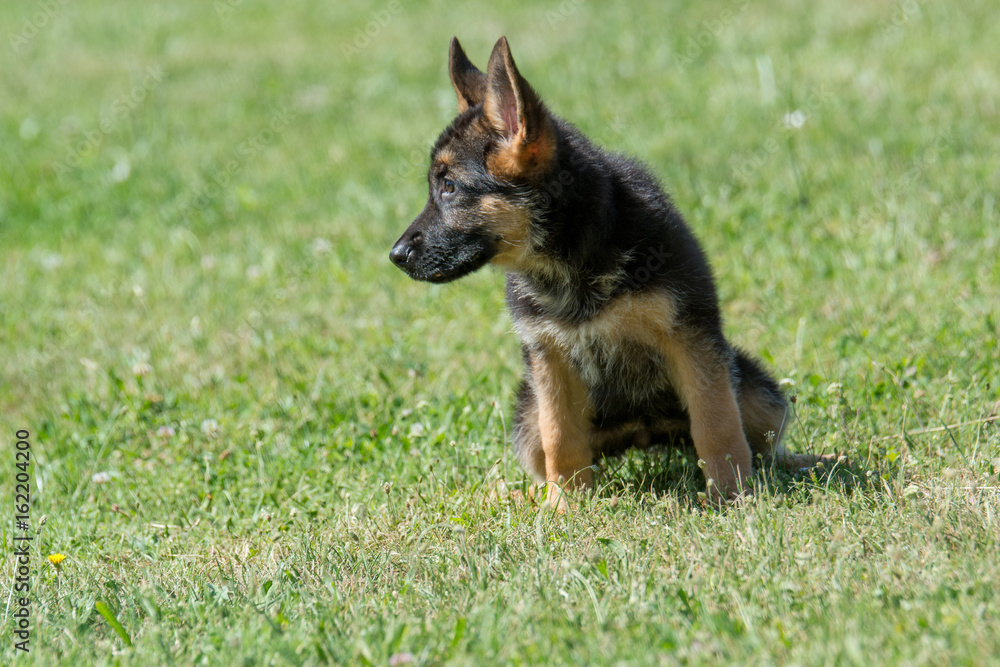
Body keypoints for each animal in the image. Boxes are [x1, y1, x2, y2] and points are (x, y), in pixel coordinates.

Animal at [390, 36, 828, 506]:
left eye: (449, 187)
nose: (395, 255)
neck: (575, 263)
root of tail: (642, 432)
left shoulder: (690, 341)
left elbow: (718, 426)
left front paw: (733, 496)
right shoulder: (548, 360)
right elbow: (561, 440)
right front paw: (564, 507)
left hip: (756, 389)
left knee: (759, 439)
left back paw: (798, 464)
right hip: (527, 417)